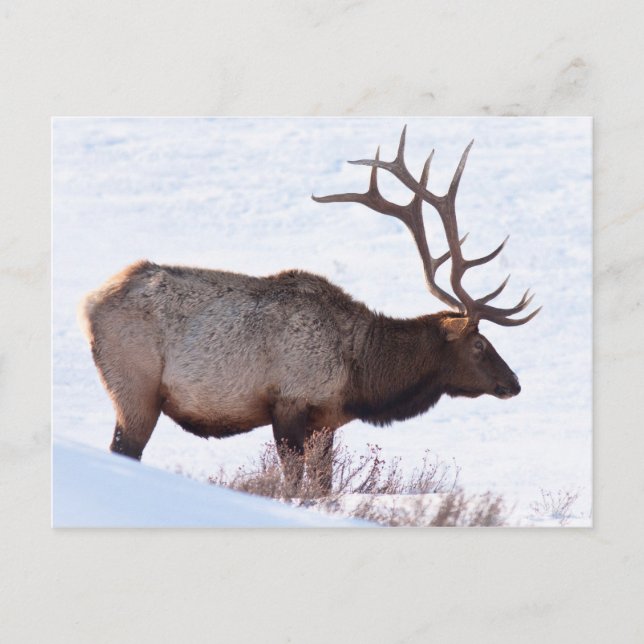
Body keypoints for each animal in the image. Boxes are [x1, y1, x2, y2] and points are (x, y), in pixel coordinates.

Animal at [80, 126, 540, 494]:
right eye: (480, 344)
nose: (514, 383)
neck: (359, 375)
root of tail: (88, 305)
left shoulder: (325, 421)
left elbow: (322, 486)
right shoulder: (290, 401)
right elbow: (294, 484)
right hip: (134, 387)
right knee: (124, 448)